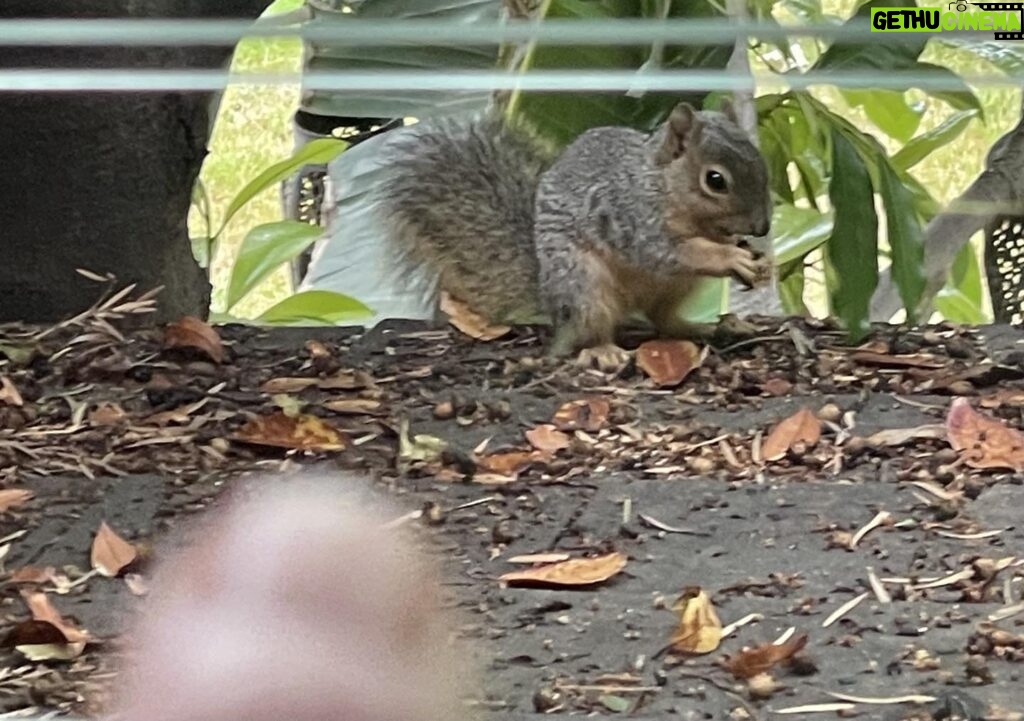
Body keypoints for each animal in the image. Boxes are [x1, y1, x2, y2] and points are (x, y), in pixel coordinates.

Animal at [380, 98, 770, 362]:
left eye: (760, 159)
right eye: (715, 180)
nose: (763, 226)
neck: (661, 185)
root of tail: (548, 296)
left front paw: (754, 258)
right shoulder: (632, 219)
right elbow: (673, 252)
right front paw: (731, 257)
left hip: (678, 288)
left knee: (665, 321)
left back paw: (706, 327)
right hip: (584, 285)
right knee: (589, 332)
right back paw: (604, 351)